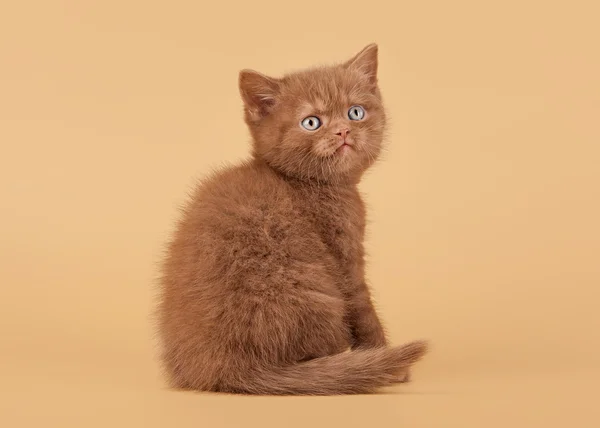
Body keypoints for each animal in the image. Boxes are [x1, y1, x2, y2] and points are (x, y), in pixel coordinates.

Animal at [157, 43, 428, 394]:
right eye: (311, 122)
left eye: (355, 112)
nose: (343, 130)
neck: (310, 184)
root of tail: (228, 368)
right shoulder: (344, 257)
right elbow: (363, 308)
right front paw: (387, 360)